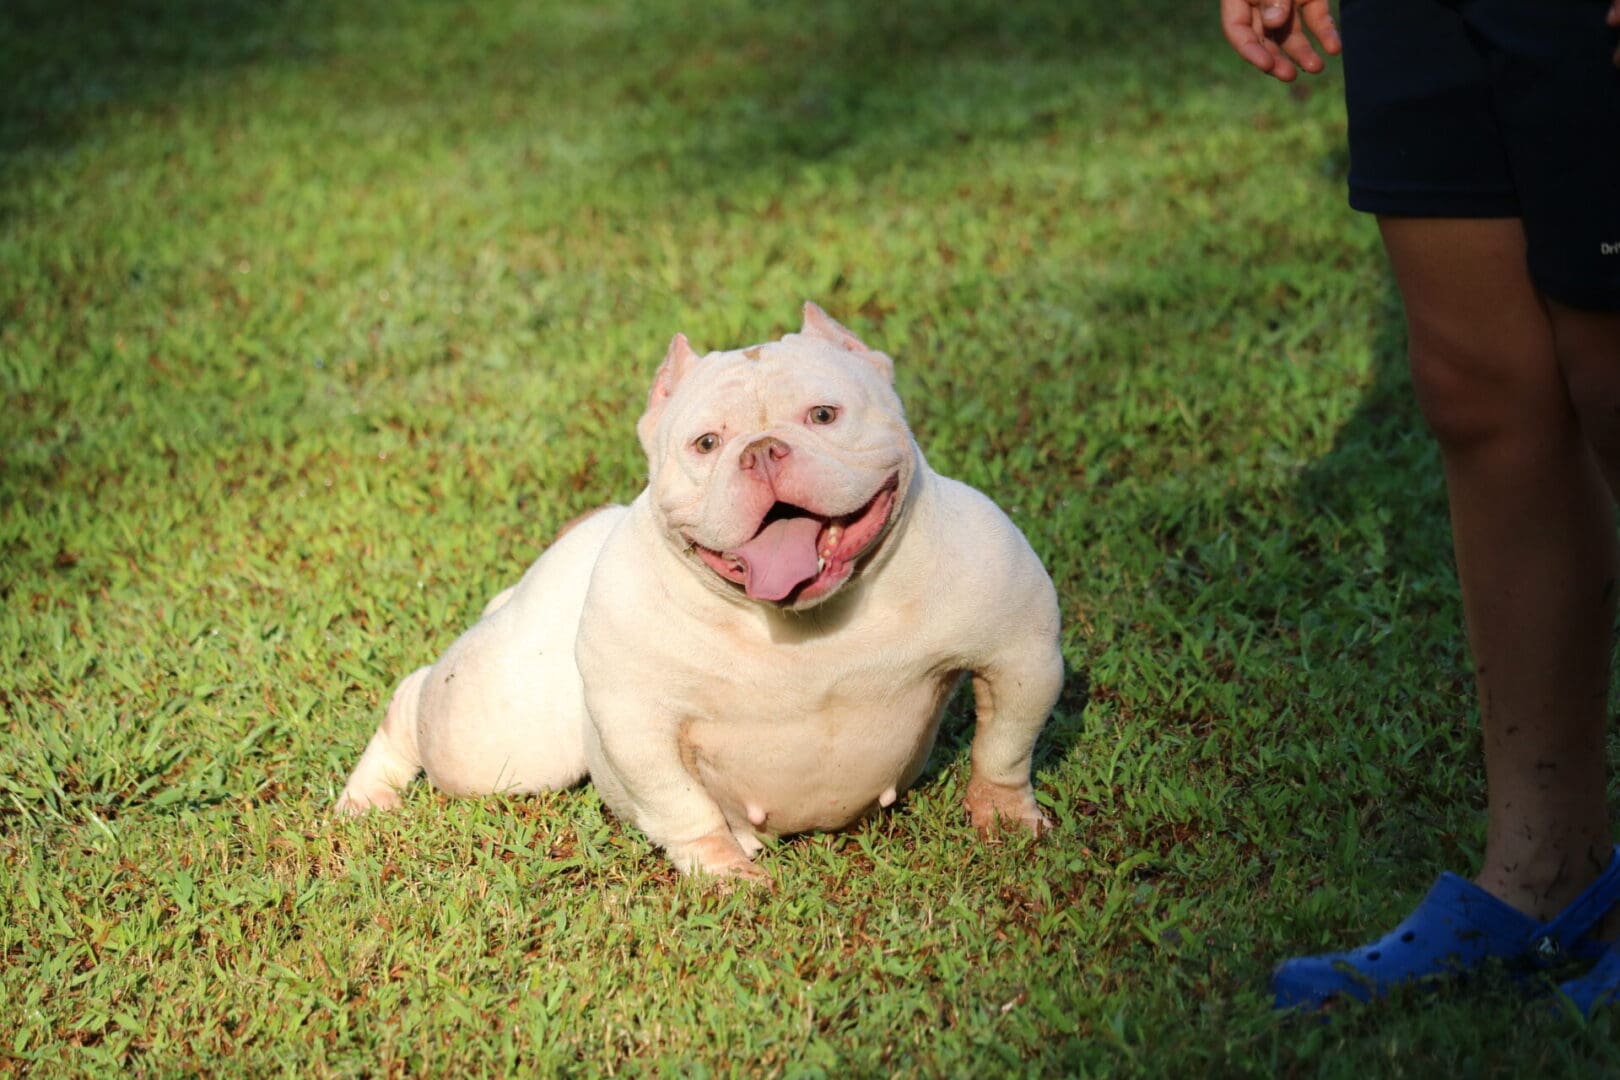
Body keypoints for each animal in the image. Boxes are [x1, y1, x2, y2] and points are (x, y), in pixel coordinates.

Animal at [341, 304, 1062, 880]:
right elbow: (682, 806)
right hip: (503, 734)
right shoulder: (638, 725)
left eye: (823, 415)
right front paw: (722, 871)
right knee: (415, 703)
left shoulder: (1020, 654)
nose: (763, 450)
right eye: (707, 443)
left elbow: (1003, 748)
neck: (806, 621)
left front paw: (1003, 819)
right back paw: (366, 799)